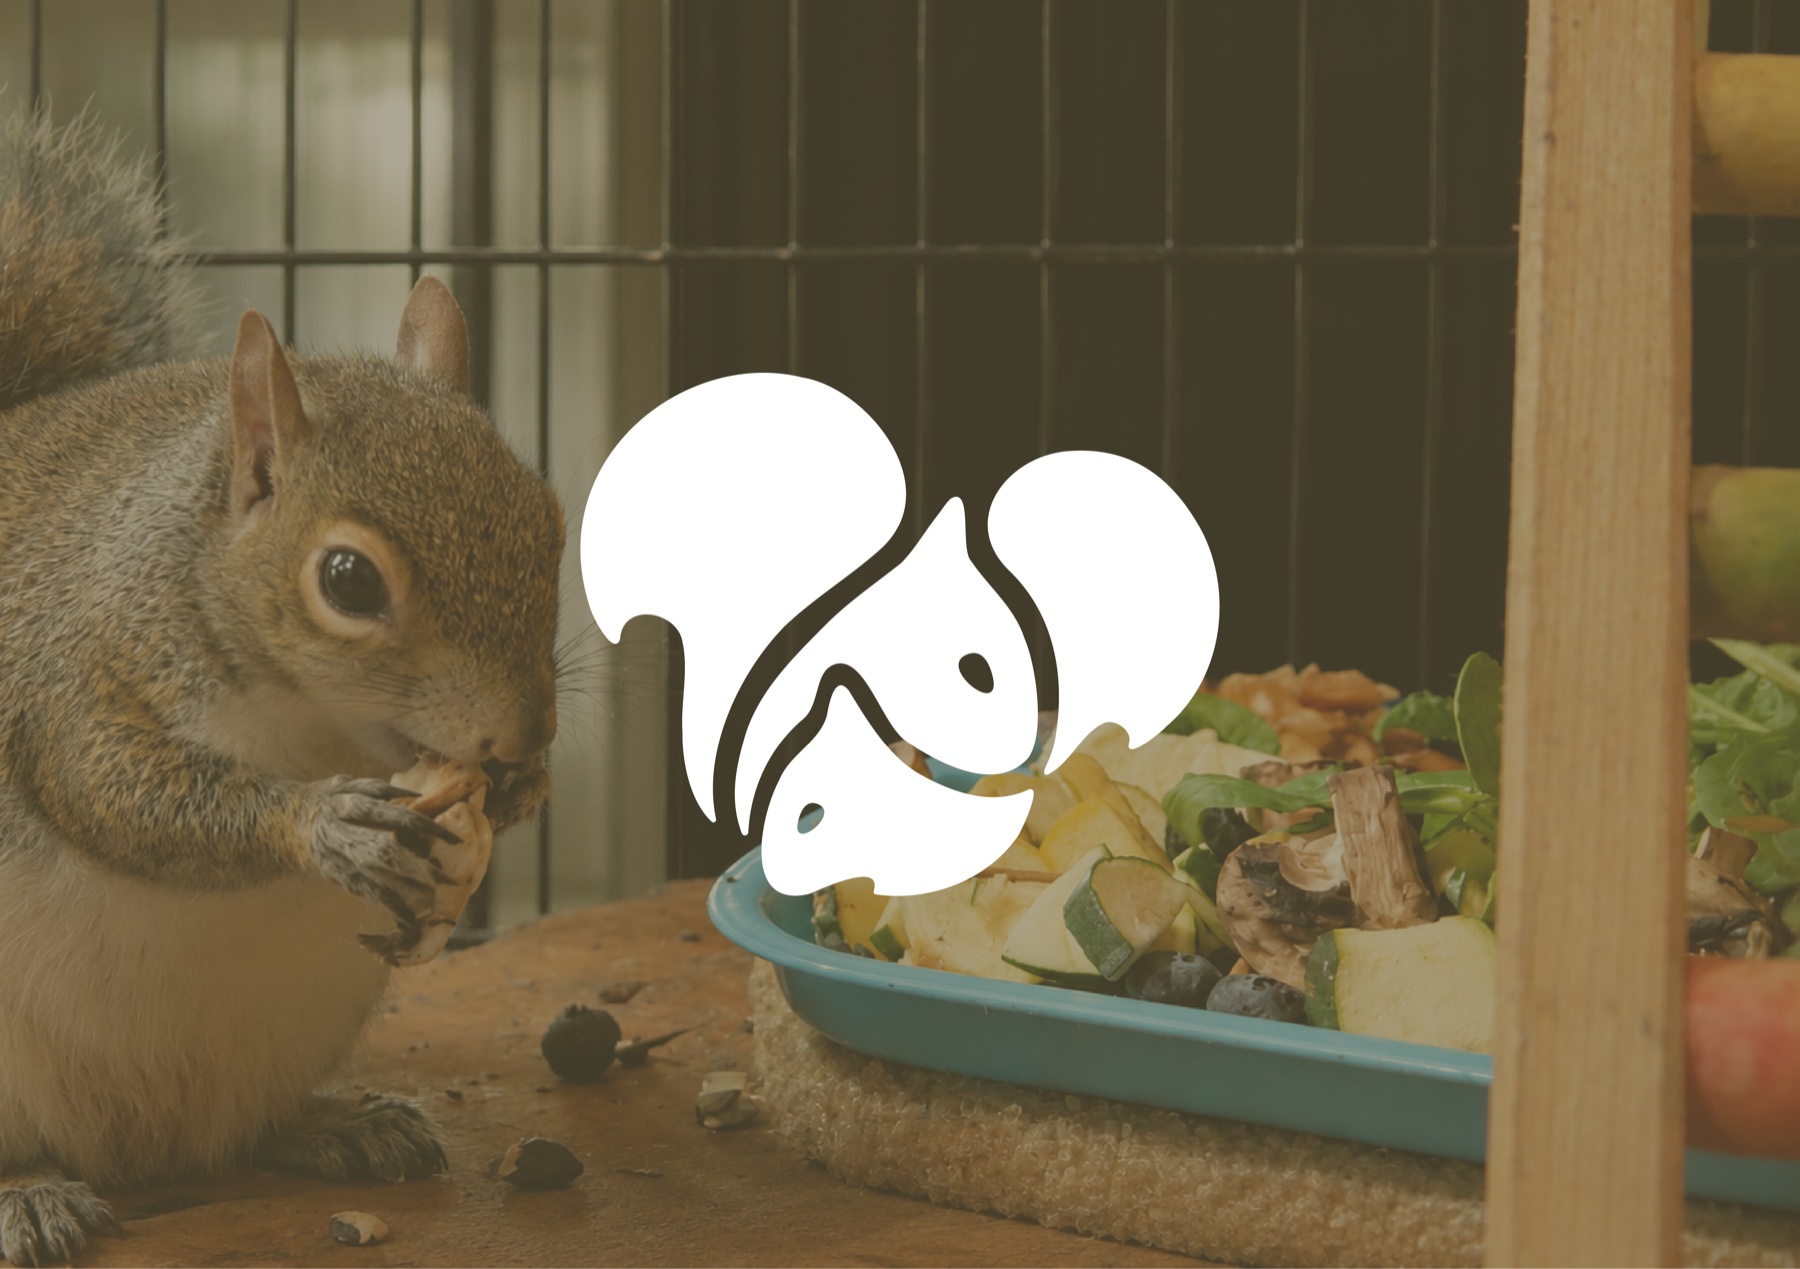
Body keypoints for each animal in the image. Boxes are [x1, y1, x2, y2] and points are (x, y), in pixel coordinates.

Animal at [0, 106, 565, 1266]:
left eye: (549, 522)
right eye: (347, 580)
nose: (520, 740)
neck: (312, 723)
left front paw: (506, 809)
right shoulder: (69, 665)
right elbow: (110, 789)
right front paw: (324, 825)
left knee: (238, 1134)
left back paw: (336, 1127)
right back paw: (24, 1191)